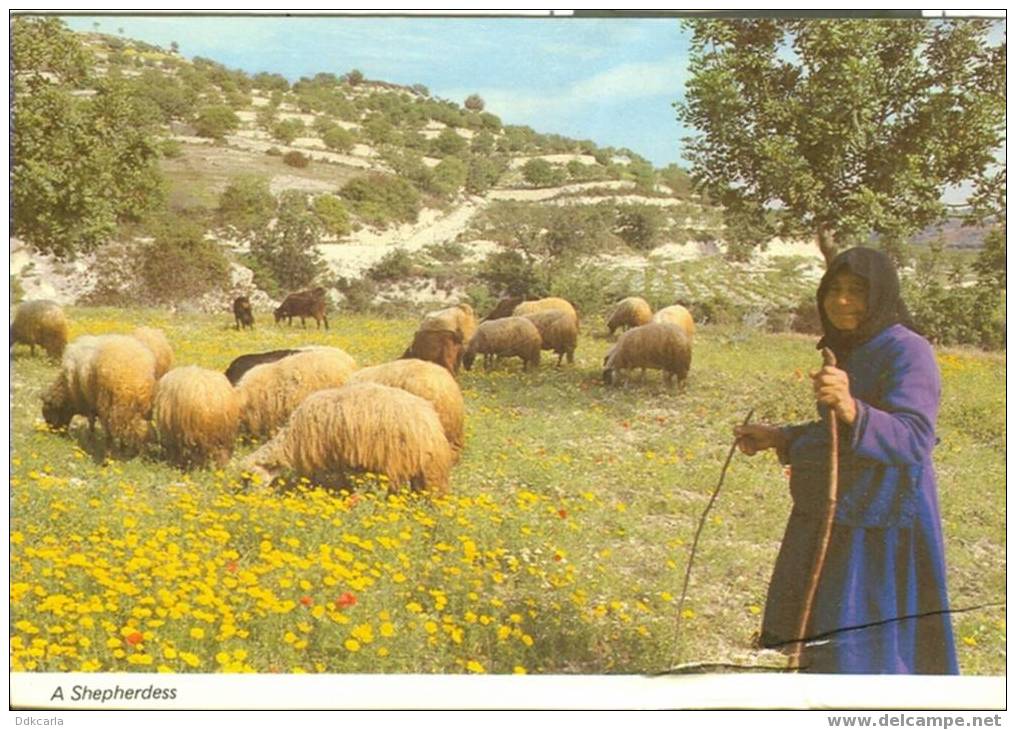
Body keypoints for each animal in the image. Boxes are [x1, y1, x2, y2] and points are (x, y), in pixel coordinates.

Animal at [241, 381, 453, 497]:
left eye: (249, 478)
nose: (249, 499)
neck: (291, 440)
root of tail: (430, 423)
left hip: (396, 460)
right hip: (425, 464)